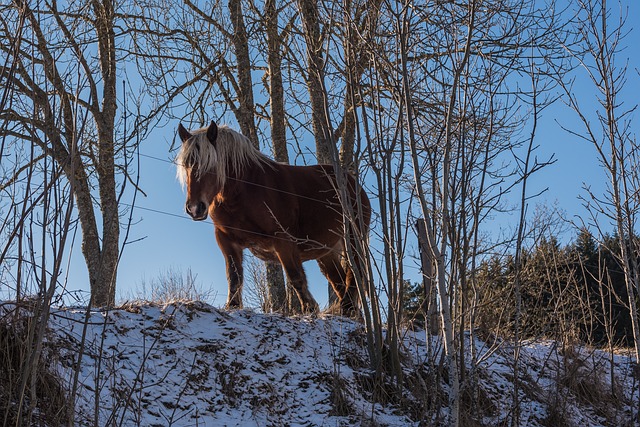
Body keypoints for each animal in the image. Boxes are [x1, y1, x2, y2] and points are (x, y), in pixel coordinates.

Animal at [178, 122, 372, 316]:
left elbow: (295, 276)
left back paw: (348, 308)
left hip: (353, 240)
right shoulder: (226, 240)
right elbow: (234, 277)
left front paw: (309, 308)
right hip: (326, 251)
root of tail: (353, 184)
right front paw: (232, 306)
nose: (194, 208)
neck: (244, 191)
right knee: (339, 281)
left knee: (355, 273)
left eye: (210, 164)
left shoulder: (283, 240)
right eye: (186, 166)